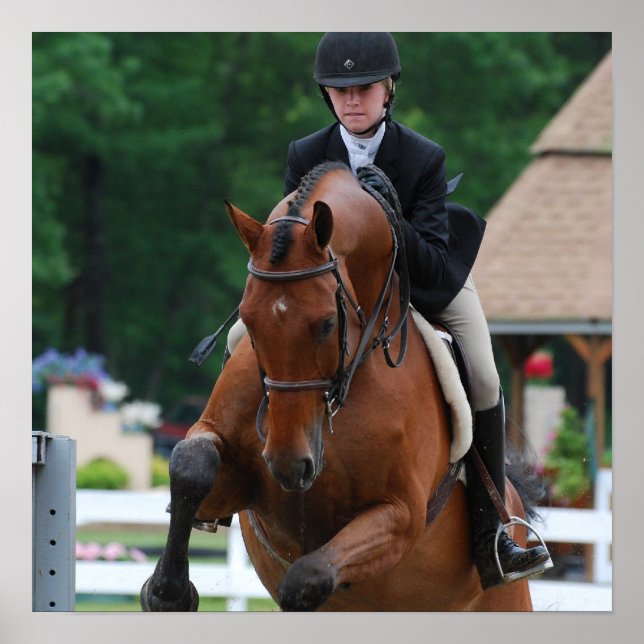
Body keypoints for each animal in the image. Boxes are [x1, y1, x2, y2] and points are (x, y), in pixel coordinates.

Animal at [140, 161, 535, 611]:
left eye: (328, 323)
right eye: (250, 323)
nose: (289, 465)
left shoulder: (400, 516)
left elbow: (306, 580)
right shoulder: (237, 480)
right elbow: (191, 464)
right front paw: (167, 592)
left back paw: (507, 551)